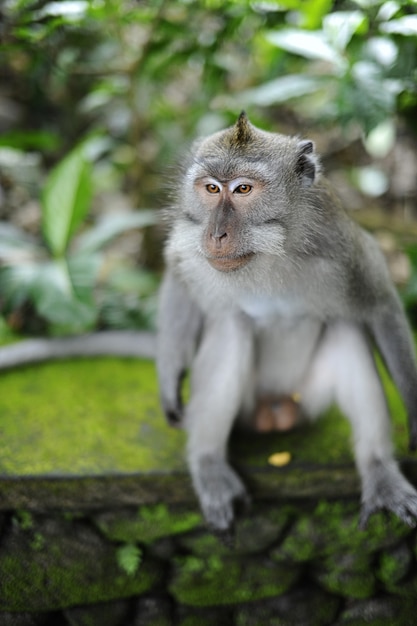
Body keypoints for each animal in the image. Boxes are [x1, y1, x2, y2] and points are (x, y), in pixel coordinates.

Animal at [155, 112, 416, 532]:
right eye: (211, 188)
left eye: (243, 188)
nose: (216, 234)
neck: (272, 249)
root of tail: (275, 412)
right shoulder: (189, 238)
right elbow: (179, 278)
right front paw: (169, 377)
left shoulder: (341, 245)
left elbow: (379, 306)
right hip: (248, 408)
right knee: (233, 328)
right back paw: (209, 463)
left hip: (307, 398)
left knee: (345, 326)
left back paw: (380, 474)